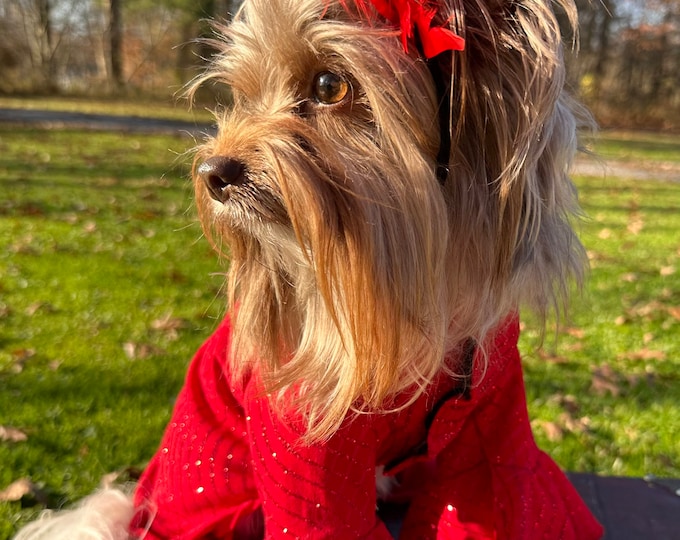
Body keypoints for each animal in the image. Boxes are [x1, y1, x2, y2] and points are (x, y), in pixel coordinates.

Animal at [15, 0, 604, 536]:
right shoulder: (302, 443)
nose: (212, 172)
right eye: (241, 96)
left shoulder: (489, 428)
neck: (400, 285)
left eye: (329, 86)